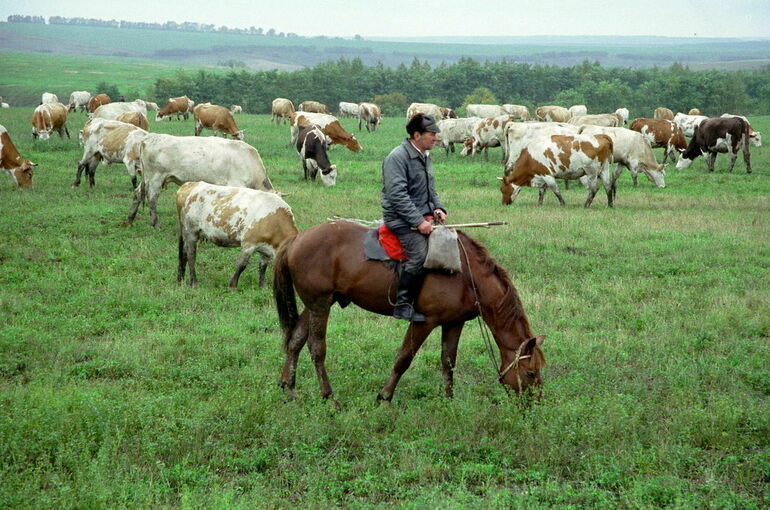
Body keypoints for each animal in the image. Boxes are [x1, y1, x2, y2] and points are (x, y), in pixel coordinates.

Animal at [128, 133, 276, 227]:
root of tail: (149, 138)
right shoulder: (235, 184)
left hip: (146, 177)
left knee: (138, 193)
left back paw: (130, 219)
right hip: (155, 178)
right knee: (152, 199)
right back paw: (155, 223)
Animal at [272, 221, 544, 400]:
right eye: (531, 373)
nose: (534, 404)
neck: (466, 276)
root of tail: (296, 239)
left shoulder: (454, 323)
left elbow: (448, 362)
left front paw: (449, 401)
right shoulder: (424, 322)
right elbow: (404, 358)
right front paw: (384, 397)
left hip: (316, 303)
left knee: (296, 340)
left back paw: (289, 387)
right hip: (319, 304)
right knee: (317, 348)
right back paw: (328, 396)